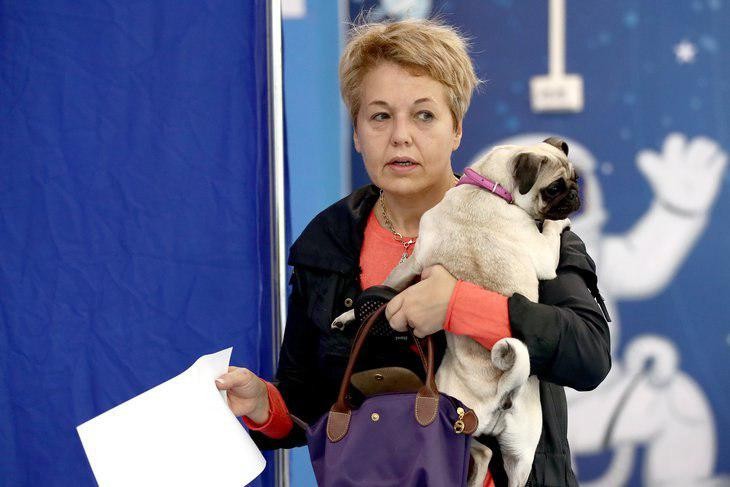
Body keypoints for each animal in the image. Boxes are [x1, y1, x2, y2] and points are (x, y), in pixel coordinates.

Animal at [333, 137, 580, 487]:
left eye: (575, 179)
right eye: (555, 188)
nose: (574, 193)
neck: (490, 189)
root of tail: (503, 388)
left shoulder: (415, 261)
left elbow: (390, 284)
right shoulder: (543, 255)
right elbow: (389, 286)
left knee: (483, 452)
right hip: (502, 443)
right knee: (487, 453)